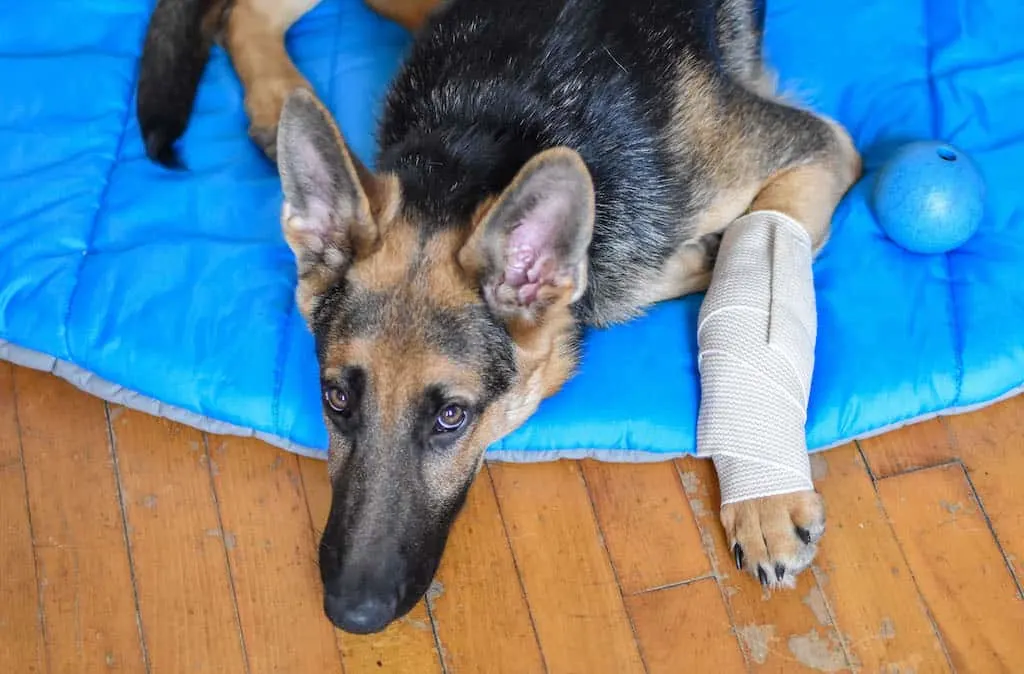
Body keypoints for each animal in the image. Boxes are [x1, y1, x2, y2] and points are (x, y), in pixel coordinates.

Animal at [134, 0, 856, 635]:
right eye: (335, 398)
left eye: (452, 417)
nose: (351, 614)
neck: (498, 133)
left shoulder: (820, 149)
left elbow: (758, 237)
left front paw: (761, 503)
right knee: (246, 11)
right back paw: (276, 101)